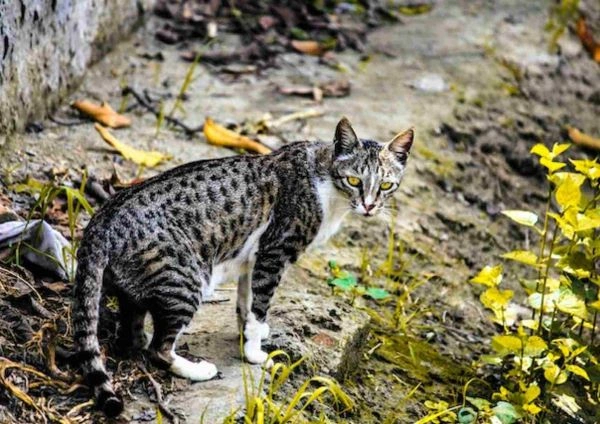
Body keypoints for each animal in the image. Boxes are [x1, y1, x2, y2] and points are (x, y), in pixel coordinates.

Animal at [71, 117, 412, 416]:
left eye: (386, 185)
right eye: (354, 180)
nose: (369, 206)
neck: (326, 183)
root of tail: (102, 219)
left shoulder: (252, 261)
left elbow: (246, 306)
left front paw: (249, 336)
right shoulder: (273, 253)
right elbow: (260, 306)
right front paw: (256, 355)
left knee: (133, 334)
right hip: (187, 279)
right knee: (159, 348)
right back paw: (197, 369)